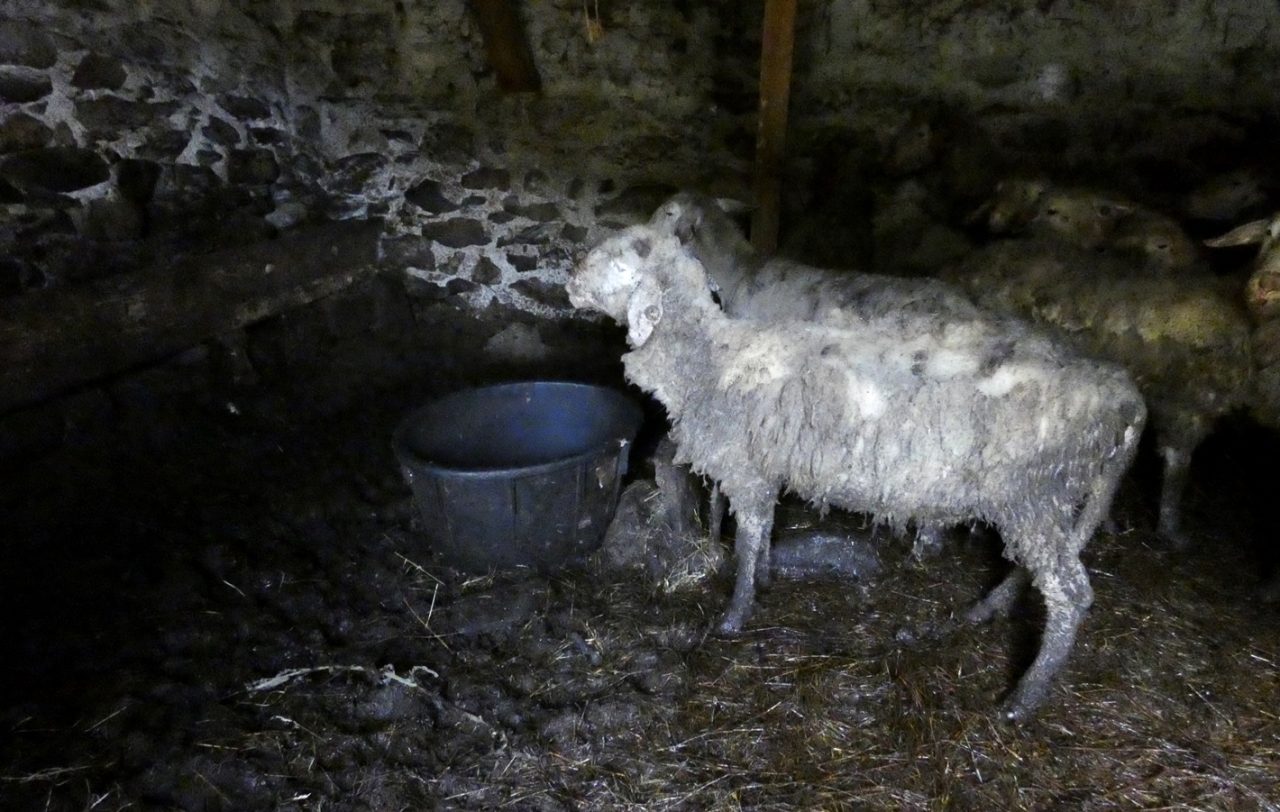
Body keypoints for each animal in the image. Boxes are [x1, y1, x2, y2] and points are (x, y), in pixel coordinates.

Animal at [568, 224, 1146, 721]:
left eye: (620, 257)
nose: (570, 280)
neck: (708, 357)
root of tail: (1125, 401)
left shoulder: (746, 468)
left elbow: (748, 540)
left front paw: (735, 615)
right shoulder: (764, 468)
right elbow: (764, 532)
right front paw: (766, 580)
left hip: (1034, 495)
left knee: (1069, 593)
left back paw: (1023, 699)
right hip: (1051, 500)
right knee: (1037, 572)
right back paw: (987, 611)